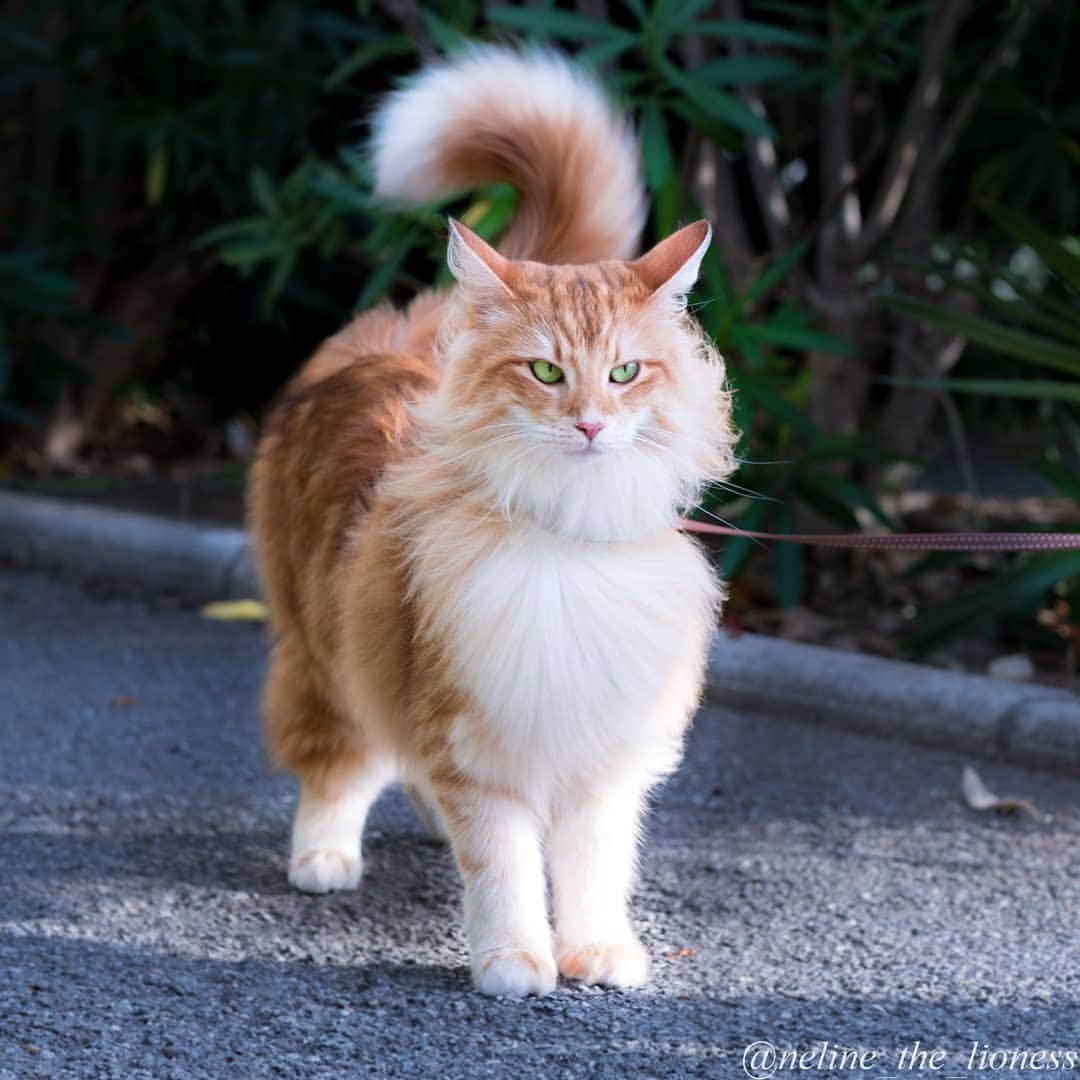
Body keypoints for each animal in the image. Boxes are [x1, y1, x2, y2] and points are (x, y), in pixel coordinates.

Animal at [249, 48, 738, 993]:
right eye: (546, 372)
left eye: (624, 372)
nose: (589, 424)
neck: (566, 535)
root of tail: (401, 336)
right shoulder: (471, 736)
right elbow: (503, 867)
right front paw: (514, 959)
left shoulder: (598, 750)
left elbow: (593, 866)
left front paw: (596, 950)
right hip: (328, 650)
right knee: (337, 760)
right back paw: (324, 857)